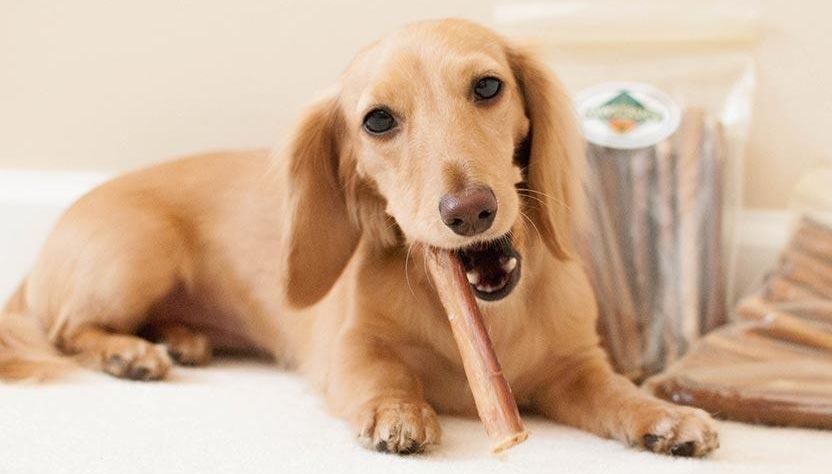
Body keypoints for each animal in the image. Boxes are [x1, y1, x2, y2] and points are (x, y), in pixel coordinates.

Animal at [0, 17, 716, 456]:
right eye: (377, 121)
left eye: (488, 86)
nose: (470, 212)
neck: (490, 315)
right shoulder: (346, 349)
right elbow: (381, 372)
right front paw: (398, 411)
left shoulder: (577, 365)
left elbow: (617, 393)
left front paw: (666, 417)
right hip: (137, 255)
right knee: (67, 329)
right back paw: (130, 354)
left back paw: (179, 340)